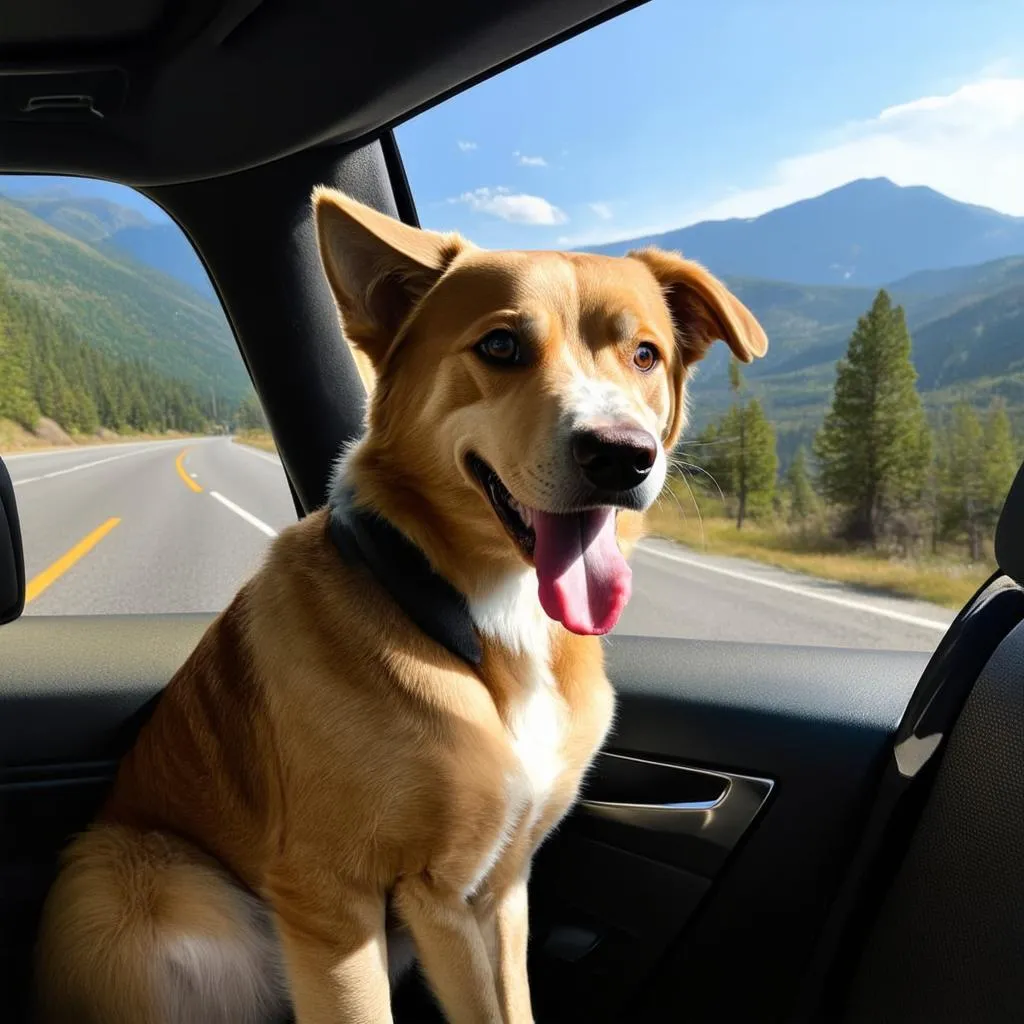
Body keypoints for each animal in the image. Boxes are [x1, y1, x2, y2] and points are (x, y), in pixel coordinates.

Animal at [34, 192, 770, 1024]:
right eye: (502, 345)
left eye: (645, 354)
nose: (621, 454)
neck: (479, 617)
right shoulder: (336, 900)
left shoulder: (492, 891)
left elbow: (505, 1001)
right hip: (127, 875)